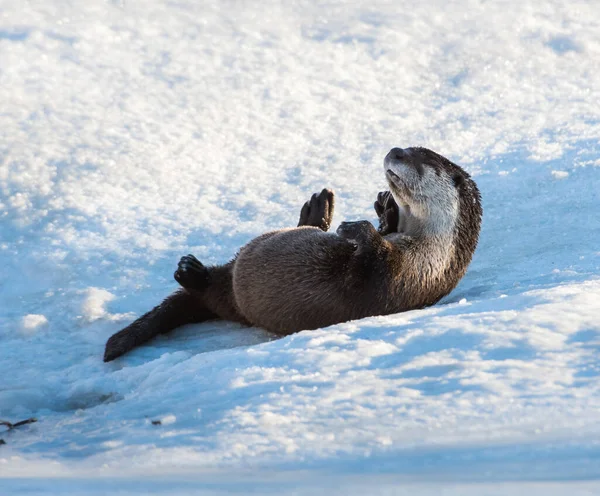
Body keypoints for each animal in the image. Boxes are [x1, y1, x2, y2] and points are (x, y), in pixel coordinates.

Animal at [101, 146, 480, 360]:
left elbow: (364, 271)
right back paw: (317, 209)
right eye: (407, 147)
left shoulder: (396, 279)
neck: (426, 253)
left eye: (420, 158)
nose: (395, 149)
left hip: (231, 296)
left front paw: (356, 228)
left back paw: (190, 272)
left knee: (210, 290)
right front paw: (383, 207)